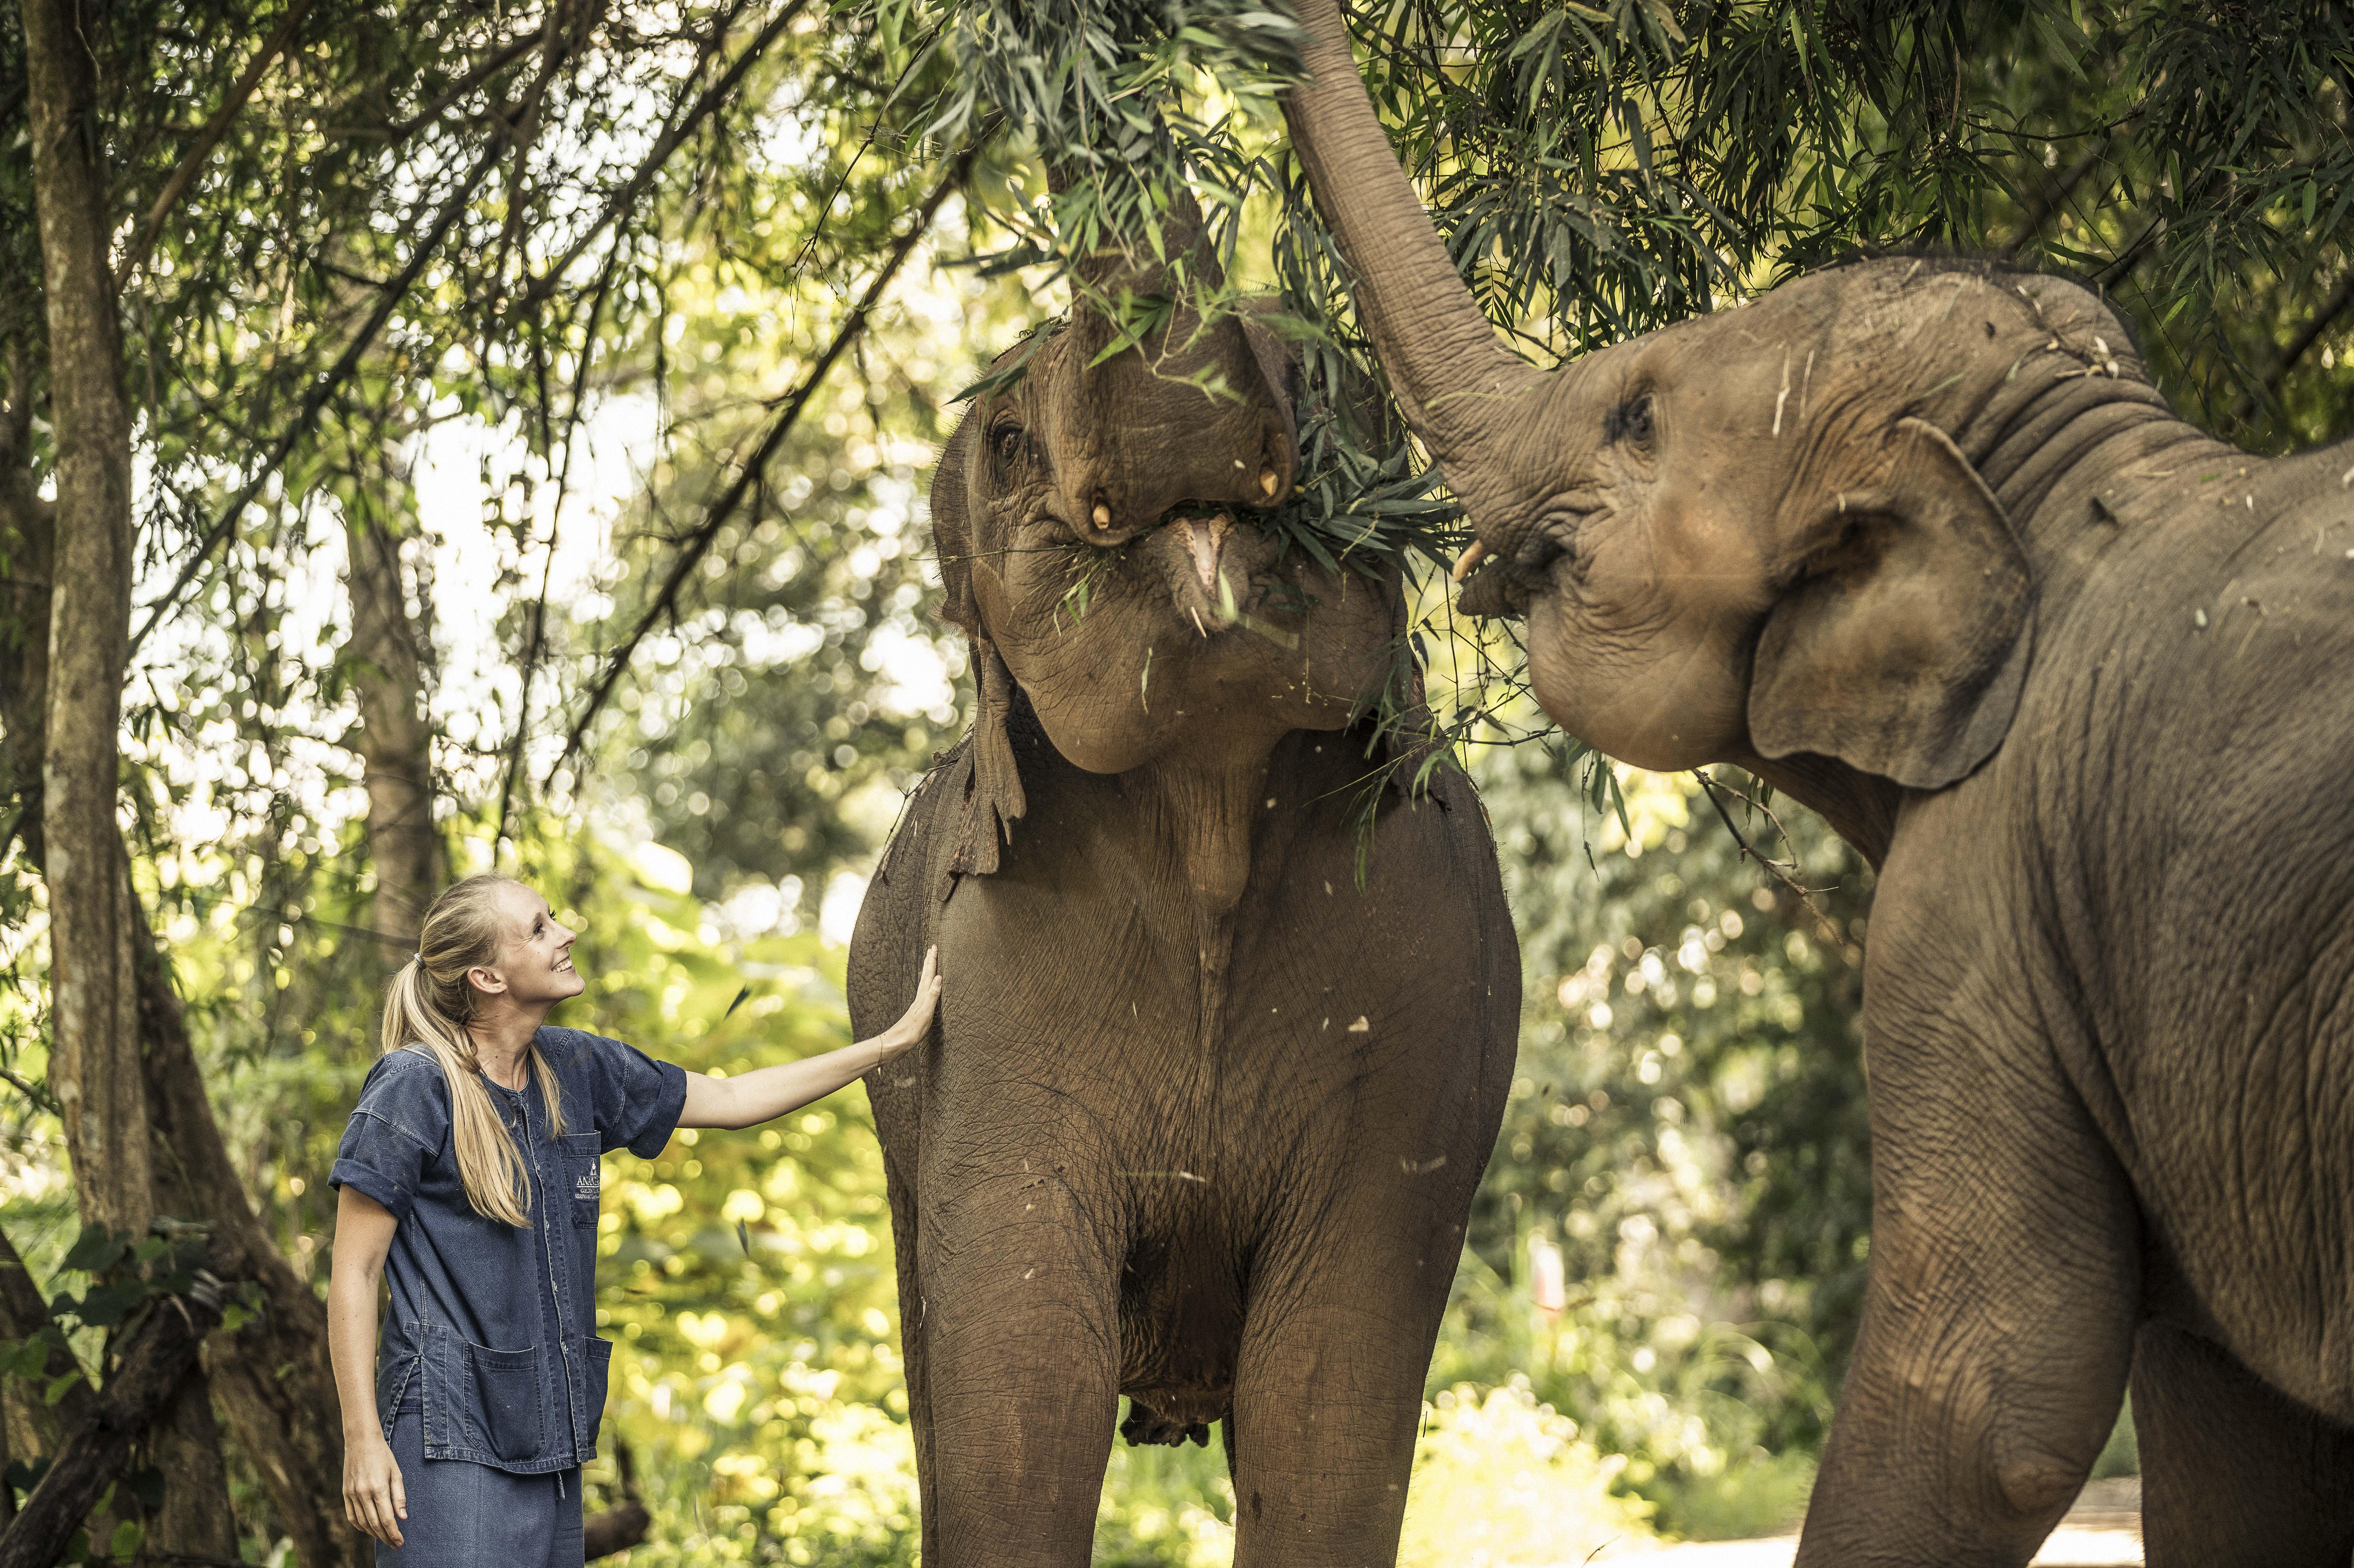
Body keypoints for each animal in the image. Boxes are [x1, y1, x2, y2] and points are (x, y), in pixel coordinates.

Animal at [847, 186, 1525, 1563]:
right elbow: (1024, 1388)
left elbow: (1324, 1391)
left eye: (1330, 383)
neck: (1209, 799)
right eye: (1008, 442)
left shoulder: (1433, 996)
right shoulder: (982, 998)